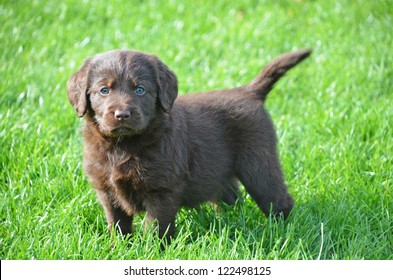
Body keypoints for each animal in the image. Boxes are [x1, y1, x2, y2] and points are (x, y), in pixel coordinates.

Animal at [68, 48, 310, 243]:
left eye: (140, 90)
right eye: (104, 90)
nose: (122, 114)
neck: (123, 145)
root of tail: (249, 92)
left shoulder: (161, 190)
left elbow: (155, 226)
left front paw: (153, 251)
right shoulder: (107, 190)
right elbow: (118, 225)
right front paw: (119, 248)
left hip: (259, 164)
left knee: (278, 200)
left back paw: (282, 231)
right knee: (231, 196)